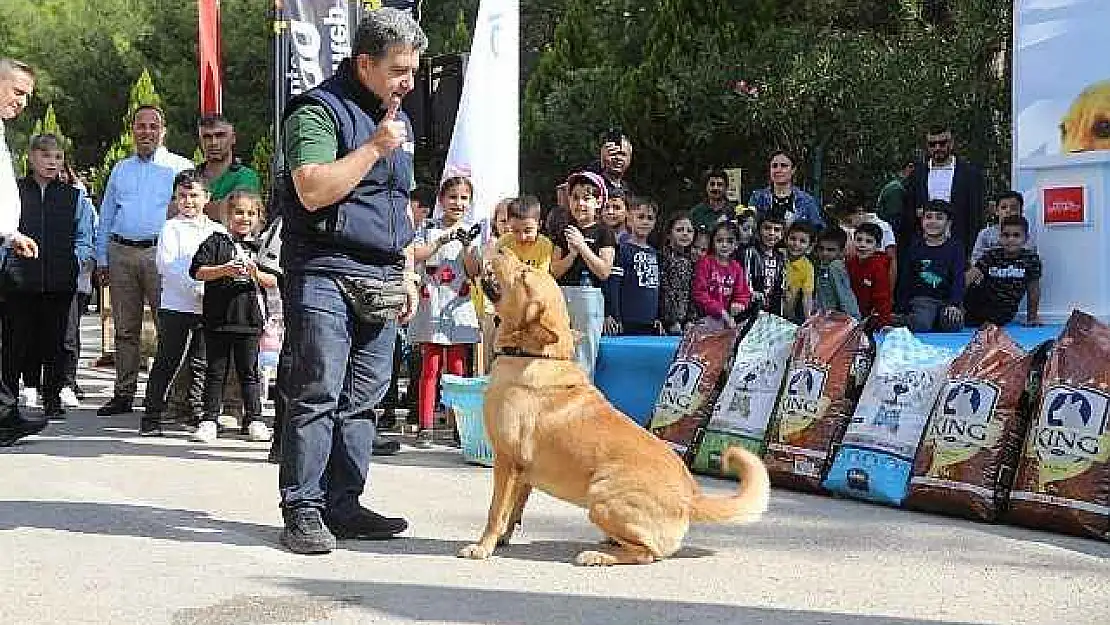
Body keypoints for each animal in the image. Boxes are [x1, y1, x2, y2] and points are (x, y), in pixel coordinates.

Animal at [455, 248, 768, 568]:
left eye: (523, 275)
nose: (502, 248)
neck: (535, 355)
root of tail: (691, 496)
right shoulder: (523, 474)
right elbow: (514, 511)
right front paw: (502, 539)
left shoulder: (507, 462)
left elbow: (496, 512)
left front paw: (483, 547)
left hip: (600, 497)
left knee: (646, 553)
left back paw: (598, 555)